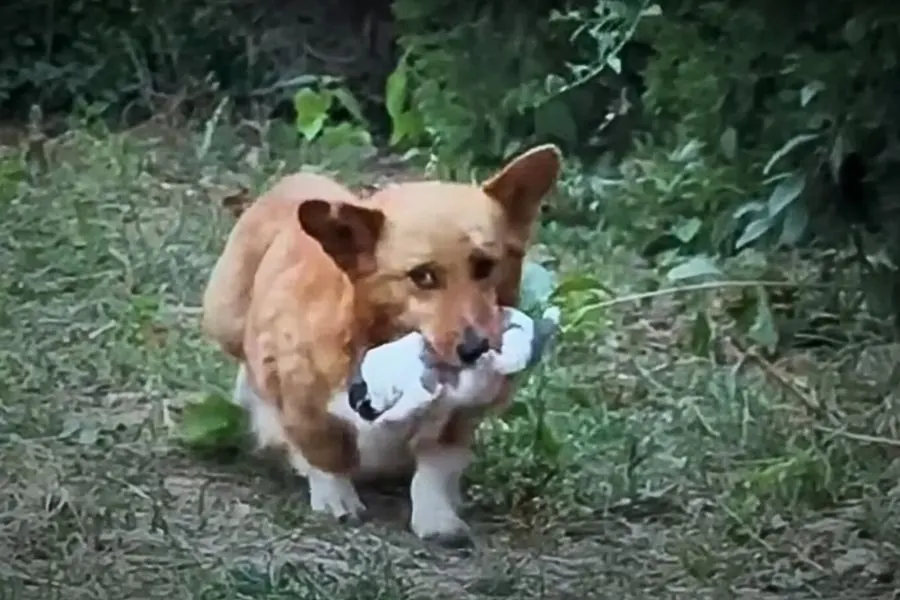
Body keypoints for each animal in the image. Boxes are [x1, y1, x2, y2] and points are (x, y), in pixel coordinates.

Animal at [202, 144, 564, 544]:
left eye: (485, 266)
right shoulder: (302, 400)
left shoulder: (459, 420)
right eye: (423, 277)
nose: (476, 350)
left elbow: (435, 468)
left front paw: (437, 517)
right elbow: (325, 452)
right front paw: (336, 499)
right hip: (224, 318)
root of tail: (291, 182)